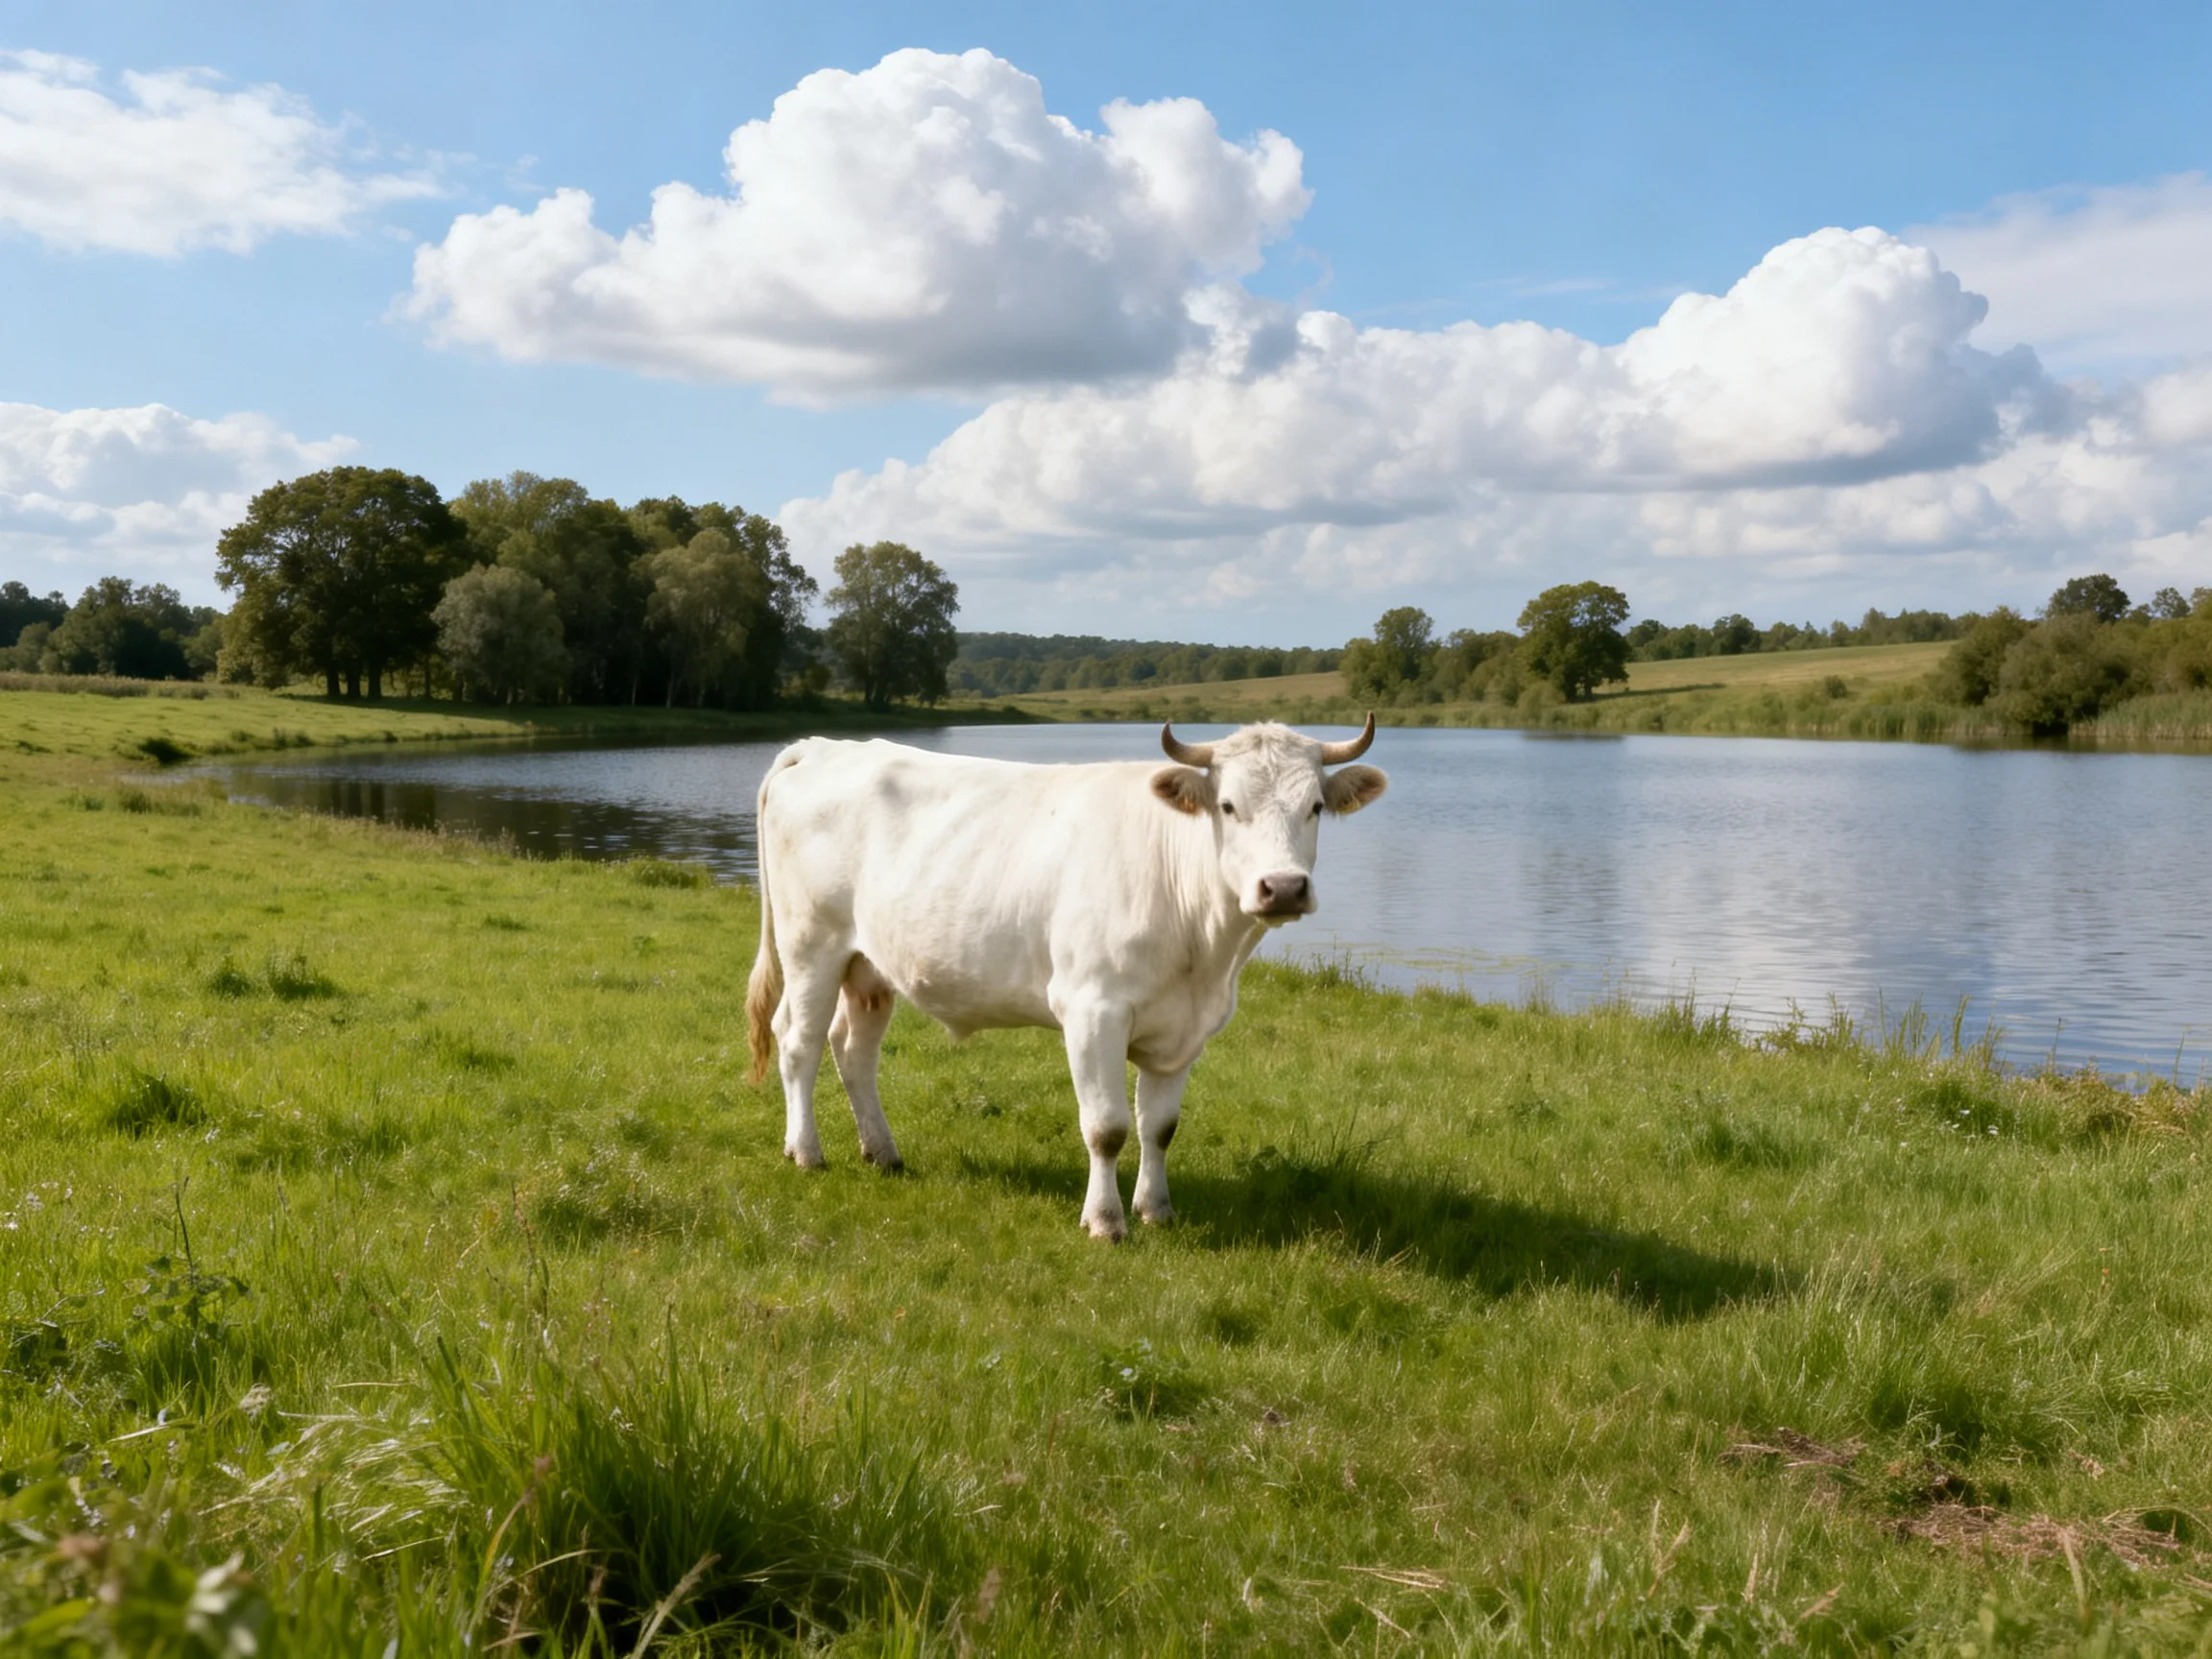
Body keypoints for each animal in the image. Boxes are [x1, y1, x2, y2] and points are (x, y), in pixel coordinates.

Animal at [745, 717, 1386, 1239]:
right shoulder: (1091, 1009)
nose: (1284, 887)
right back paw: (806, 1152)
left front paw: (1157, 1211)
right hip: (811, 945)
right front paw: (1105, 1221)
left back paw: (882, 1152)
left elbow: (1160, 1127)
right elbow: (1107, 1128)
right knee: (799, 1041)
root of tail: (823, 746)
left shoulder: (1184, 1028)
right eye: (1228, 806)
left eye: (1315, 807)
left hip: (869, 965)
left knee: (853, 1049)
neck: (1206, 956)